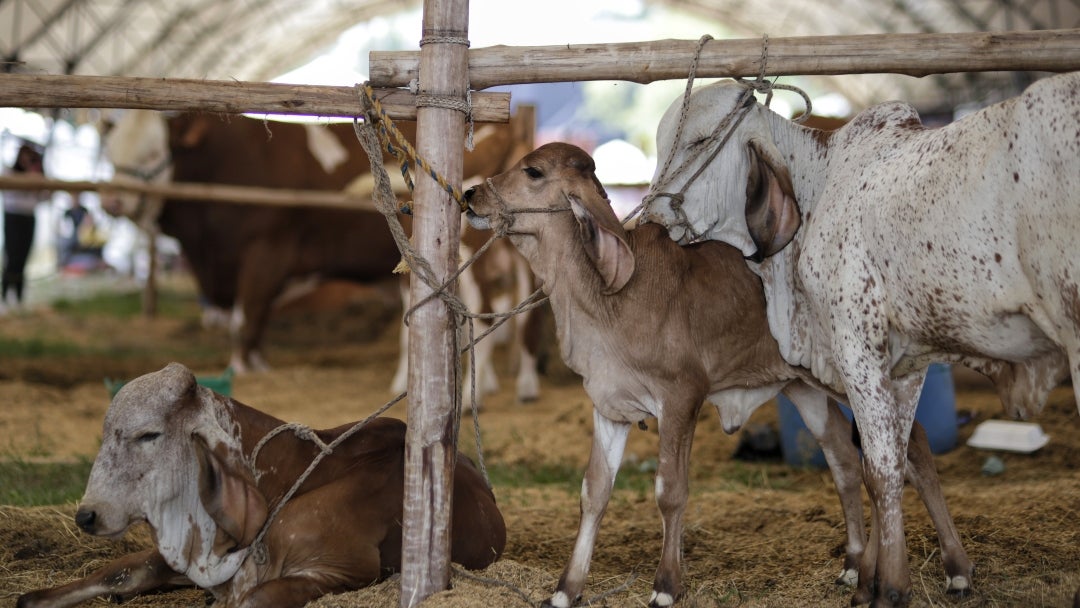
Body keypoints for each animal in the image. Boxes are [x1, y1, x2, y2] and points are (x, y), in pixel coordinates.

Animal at [100, 111, 540, 408]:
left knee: (488, 309)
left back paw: (481, 394)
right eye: (111, 152)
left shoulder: (266, 250)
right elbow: (256, 320)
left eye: (154, 152)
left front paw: (243, 370)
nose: (111, 201)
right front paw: (258, 363)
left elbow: (246, 318)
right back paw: (517, 384)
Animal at [464, 141, 972, 608]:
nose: (470, 194)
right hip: (804, 387)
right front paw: (566, 589)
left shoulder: (681, 396)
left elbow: (670, 490)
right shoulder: (609, 405)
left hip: (859, 378)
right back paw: (854, 567)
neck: (608, 298)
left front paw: (666, 586)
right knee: (845, 459)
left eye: (532, 171)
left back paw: (952, 572)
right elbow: (594, 491)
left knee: (909, 450)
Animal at [639, 72, 1080, 608]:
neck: (821, 183)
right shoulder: (909, 361)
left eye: (700, 140)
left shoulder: (857, 345)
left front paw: (889, 587)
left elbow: (881, 468)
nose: (650, 215)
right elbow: (892, 462)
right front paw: (880, 576)